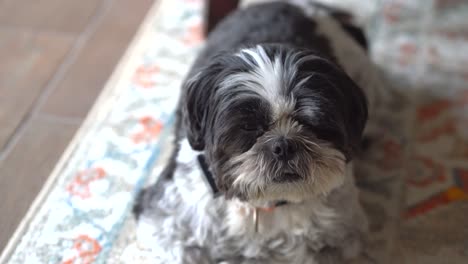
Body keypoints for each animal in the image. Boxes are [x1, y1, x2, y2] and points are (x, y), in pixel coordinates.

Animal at [133, 1, 384, 262]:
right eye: (248, 126)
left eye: (314, 121)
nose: (283, 145)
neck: (267, 204)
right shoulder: (164, 220)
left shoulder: (344, 238)